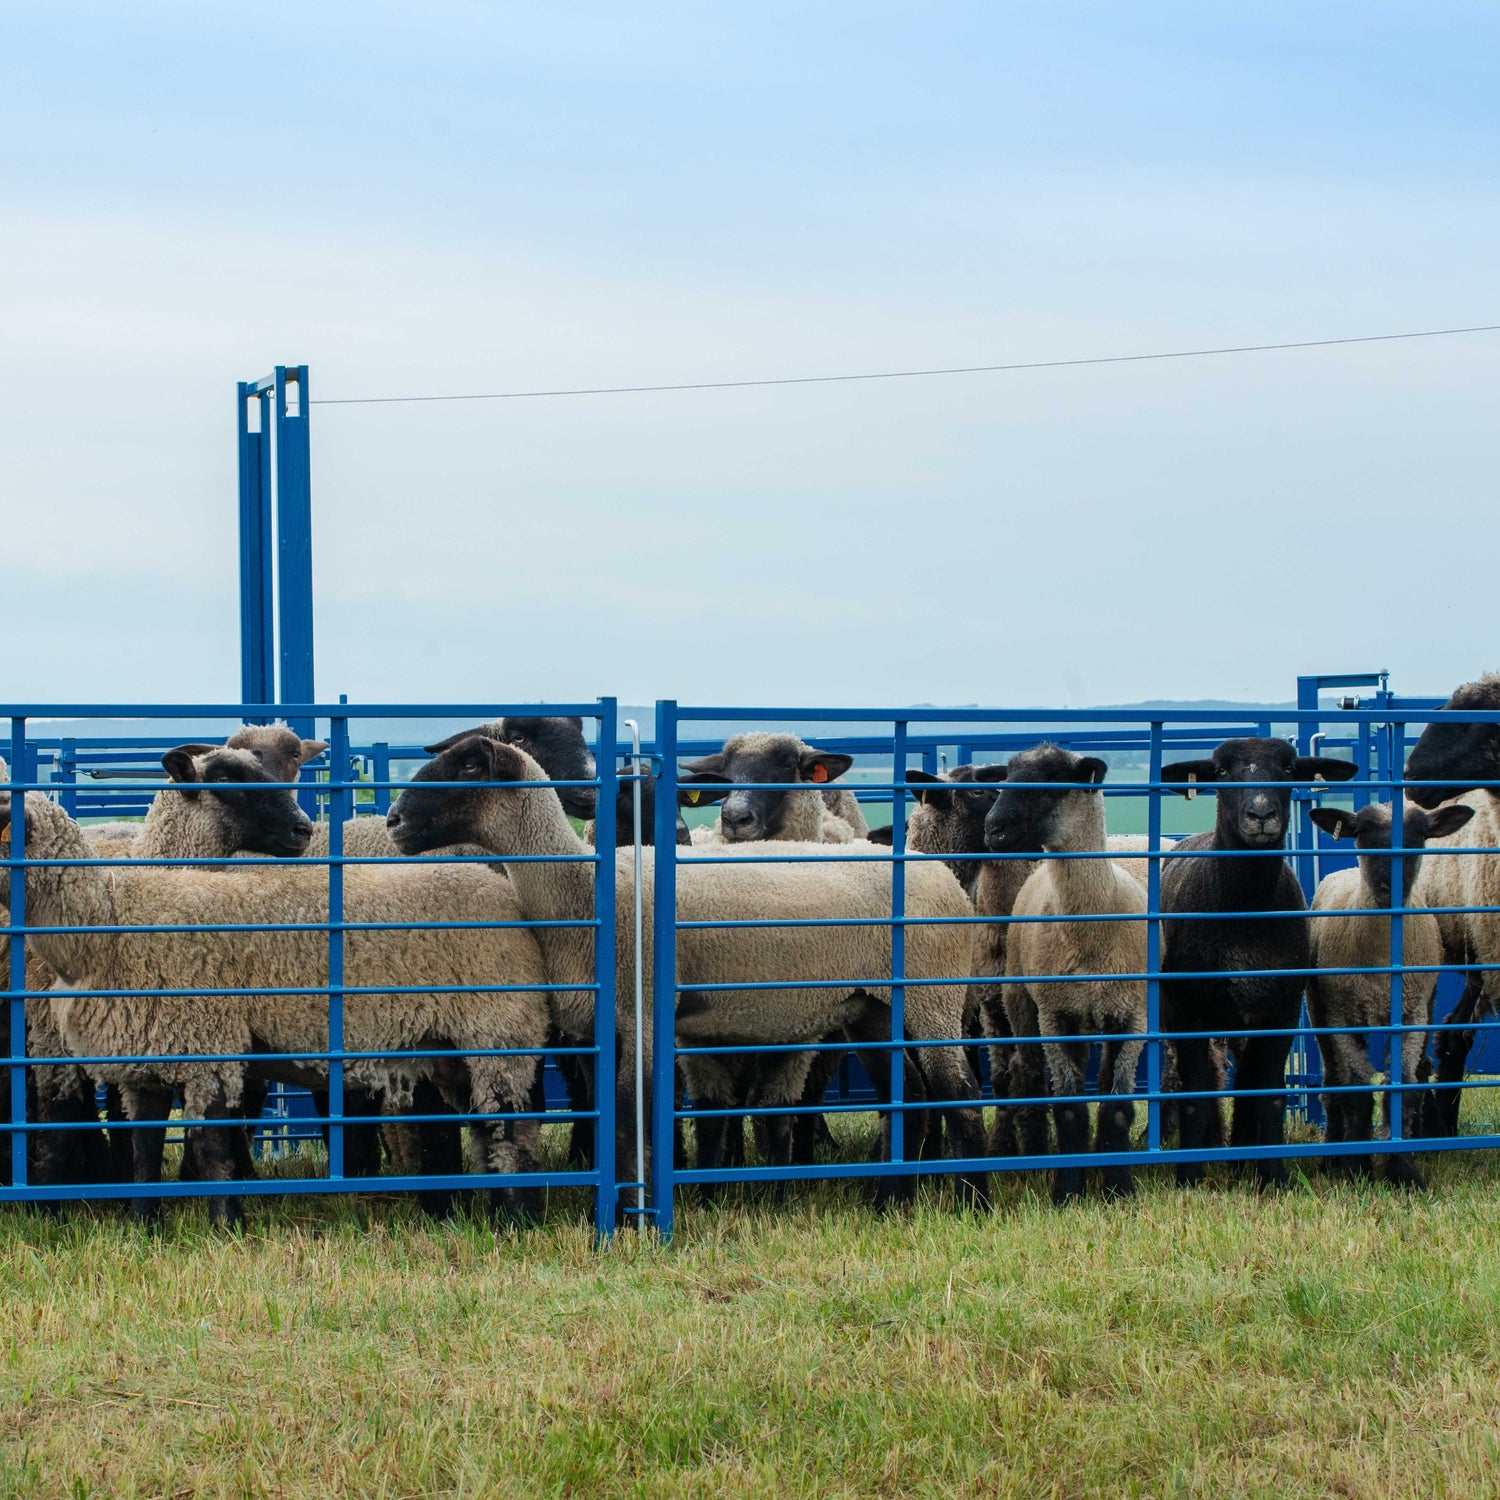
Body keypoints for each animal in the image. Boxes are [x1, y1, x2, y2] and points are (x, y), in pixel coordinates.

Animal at [1, 789, 551, 1228]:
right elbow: (143, 1151)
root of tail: (502, 891)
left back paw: (517, 1220)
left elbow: (212, 1148)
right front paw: (141, 1226)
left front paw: (226, 1226)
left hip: (498, 1027)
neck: (101, 930)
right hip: (450, 1045)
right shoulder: (146, 1059)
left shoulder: (209, 1045)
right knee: (484, 1127)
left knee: (511, 1125)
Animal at [386, 737, 988, 1209]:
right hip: (870, 1006)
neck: (587, 891)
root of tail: (942, 877)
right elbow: (614, 1124)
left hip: (934, 995)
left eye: (469, 767)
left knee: (958, 1091)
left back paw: (972, 1203)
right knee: (909, 1098)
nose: (392, 821)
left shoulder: (645, 1014)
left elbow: (630, 1124)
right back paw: (890, 1202)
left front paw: (629, 1219)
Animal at [981, 745, 1148, 1202]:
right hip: (1021, 1001)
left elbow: (1118, 1105)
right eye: (1007, 776)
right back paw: (1036, 1155)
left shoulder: (1132, 1015)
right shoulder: (1055, 1015)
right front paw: (1067, 1190)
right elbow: (1069, 1106)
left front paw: (1119, 1187)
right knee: (1029, 1075)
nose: (993, 829)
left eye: (1052, 780)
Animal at [1159, 737, 1358, 1189]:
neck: (1245, 911)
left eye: (1288, 769)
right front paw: (1188, 1177)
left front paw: (1273, 1177)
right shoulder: (1187, 1010)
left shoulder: (1280, 1009)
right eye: (1221, 771)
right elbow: (1196, 1094)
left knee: (1248, 1083)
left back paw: (1242, 1159)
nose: (1262, 814)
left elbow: (1267, 1094)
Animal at [1307, 800, 1474, 1186]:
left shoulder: (1411, 1014)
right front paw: (1355, 1169)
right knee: (1332, 1082)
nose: (1390, 887)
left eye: (1420, 836)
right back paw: (1330, 1155)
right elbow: (1355, 1093)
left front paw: (1403, 1170)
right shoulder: (1343, 1015)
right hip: (1318, 1009)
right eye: (1362, 833)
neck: (1383, 957)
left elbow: (1403, 1091)